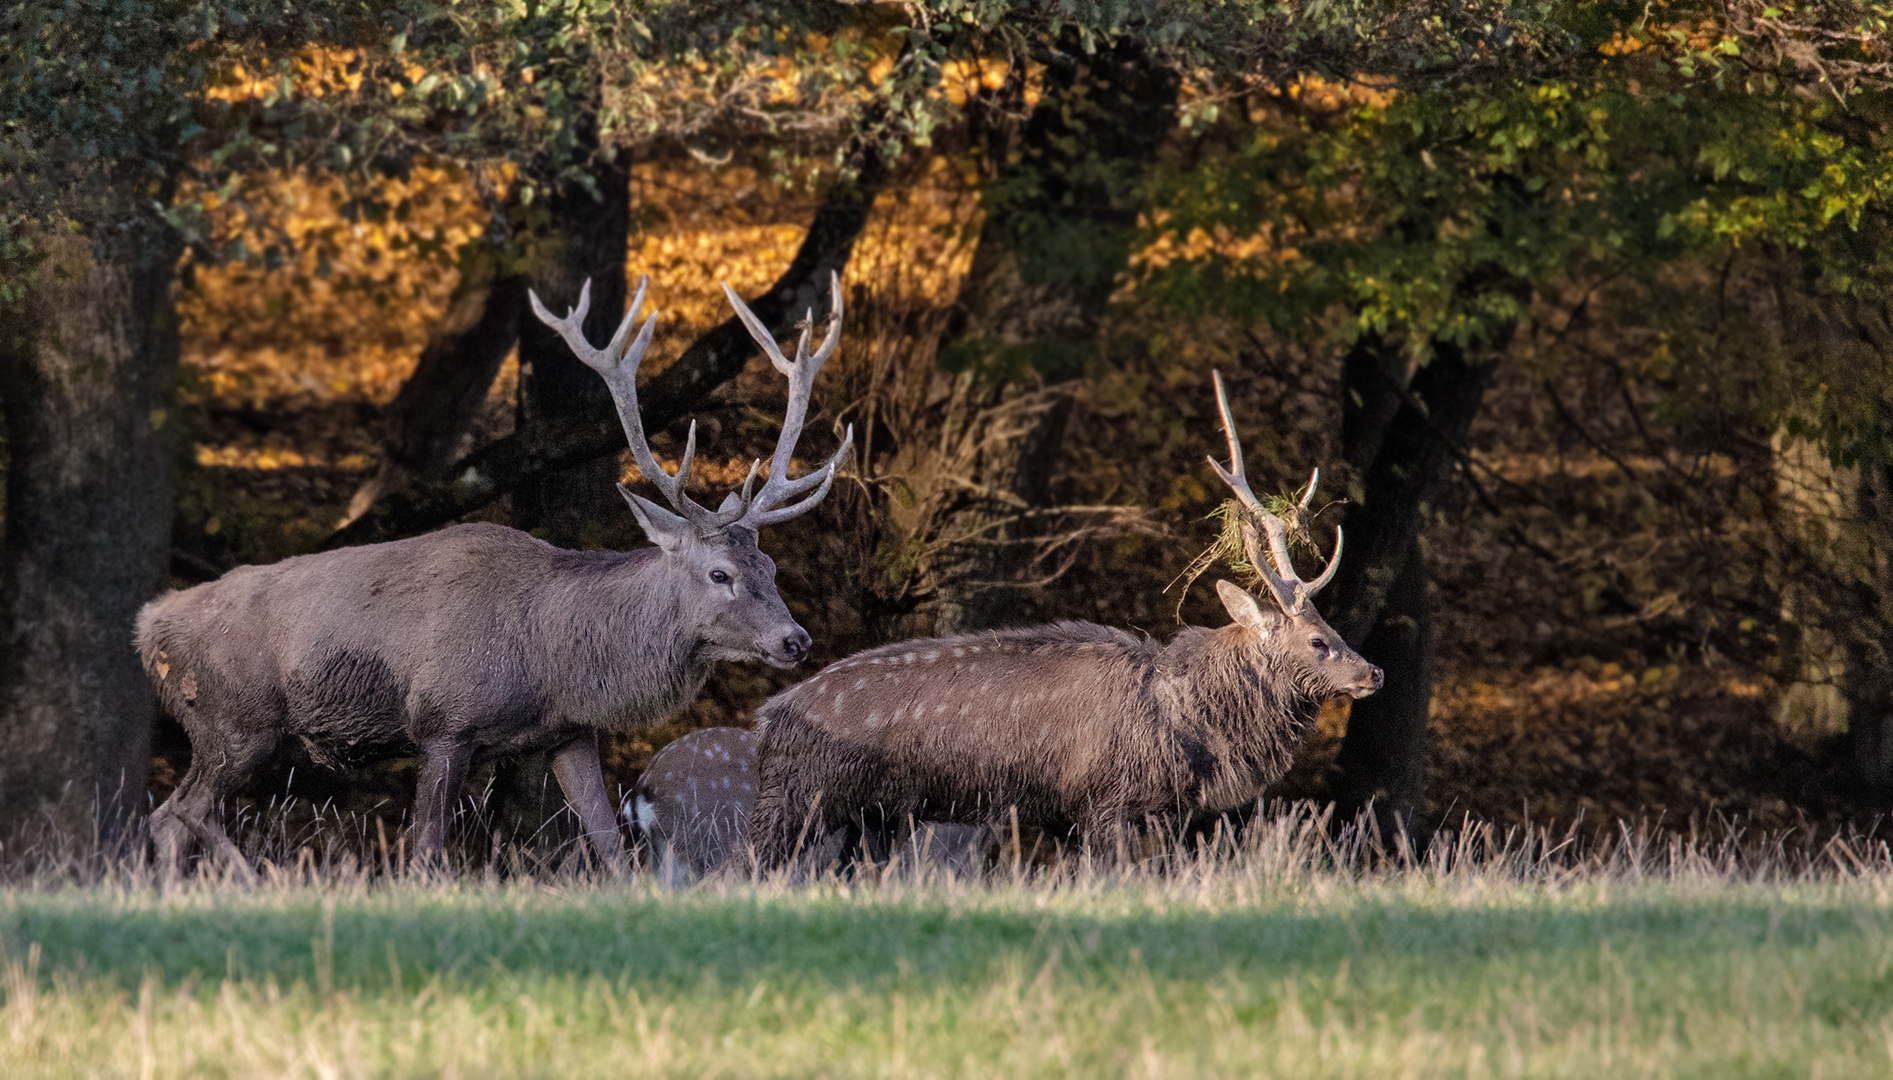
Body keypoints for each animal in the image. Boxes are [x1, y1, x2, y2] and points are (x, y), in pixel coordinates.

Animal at [143, 272, 855, 877]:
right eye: (718, 573)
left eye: (768, 563)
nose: (795, 639)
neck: (551, 658)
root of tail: (149, 626)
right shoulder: (443, 724)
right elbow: (428, 855)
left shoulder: (569, 733)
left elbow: (610, 849)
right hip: (235, 723)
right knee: (178, 811)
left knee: (170, 817)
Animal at [745, 372, 1385, 870]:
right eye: (1318, 640)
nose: (1373, 672)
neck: (1191, 733)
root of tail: (767, 717)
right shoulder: (1105, 802)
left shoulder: (1119, 817)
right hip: (797, 796)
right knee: (748, 863)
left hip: (869, 817)